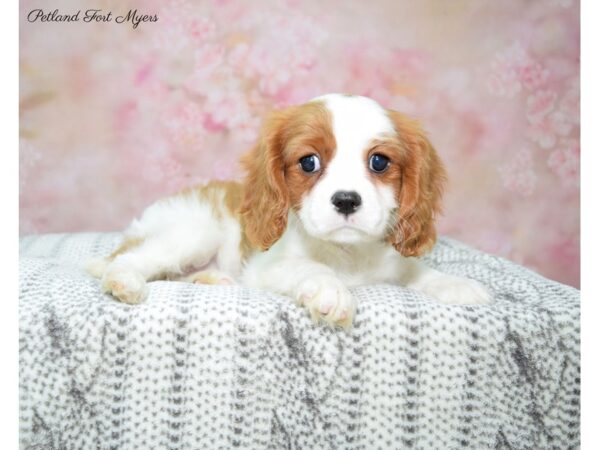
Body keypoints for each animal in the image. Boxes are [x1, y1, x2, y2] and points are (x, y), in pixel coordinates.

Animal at [86, 94, 490, 326]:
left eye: (379, 162)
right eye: (309, 162)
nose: (346, 199)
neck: (347, 254)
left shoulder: (394, 263)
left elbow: (417, 272)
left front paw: (456, 284)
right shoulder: (269, 267)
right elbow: (309, 268)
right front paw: (332, 291)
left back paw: (214, 279)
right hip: (193, 232)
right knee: (133, 260)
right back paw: (125, 281)